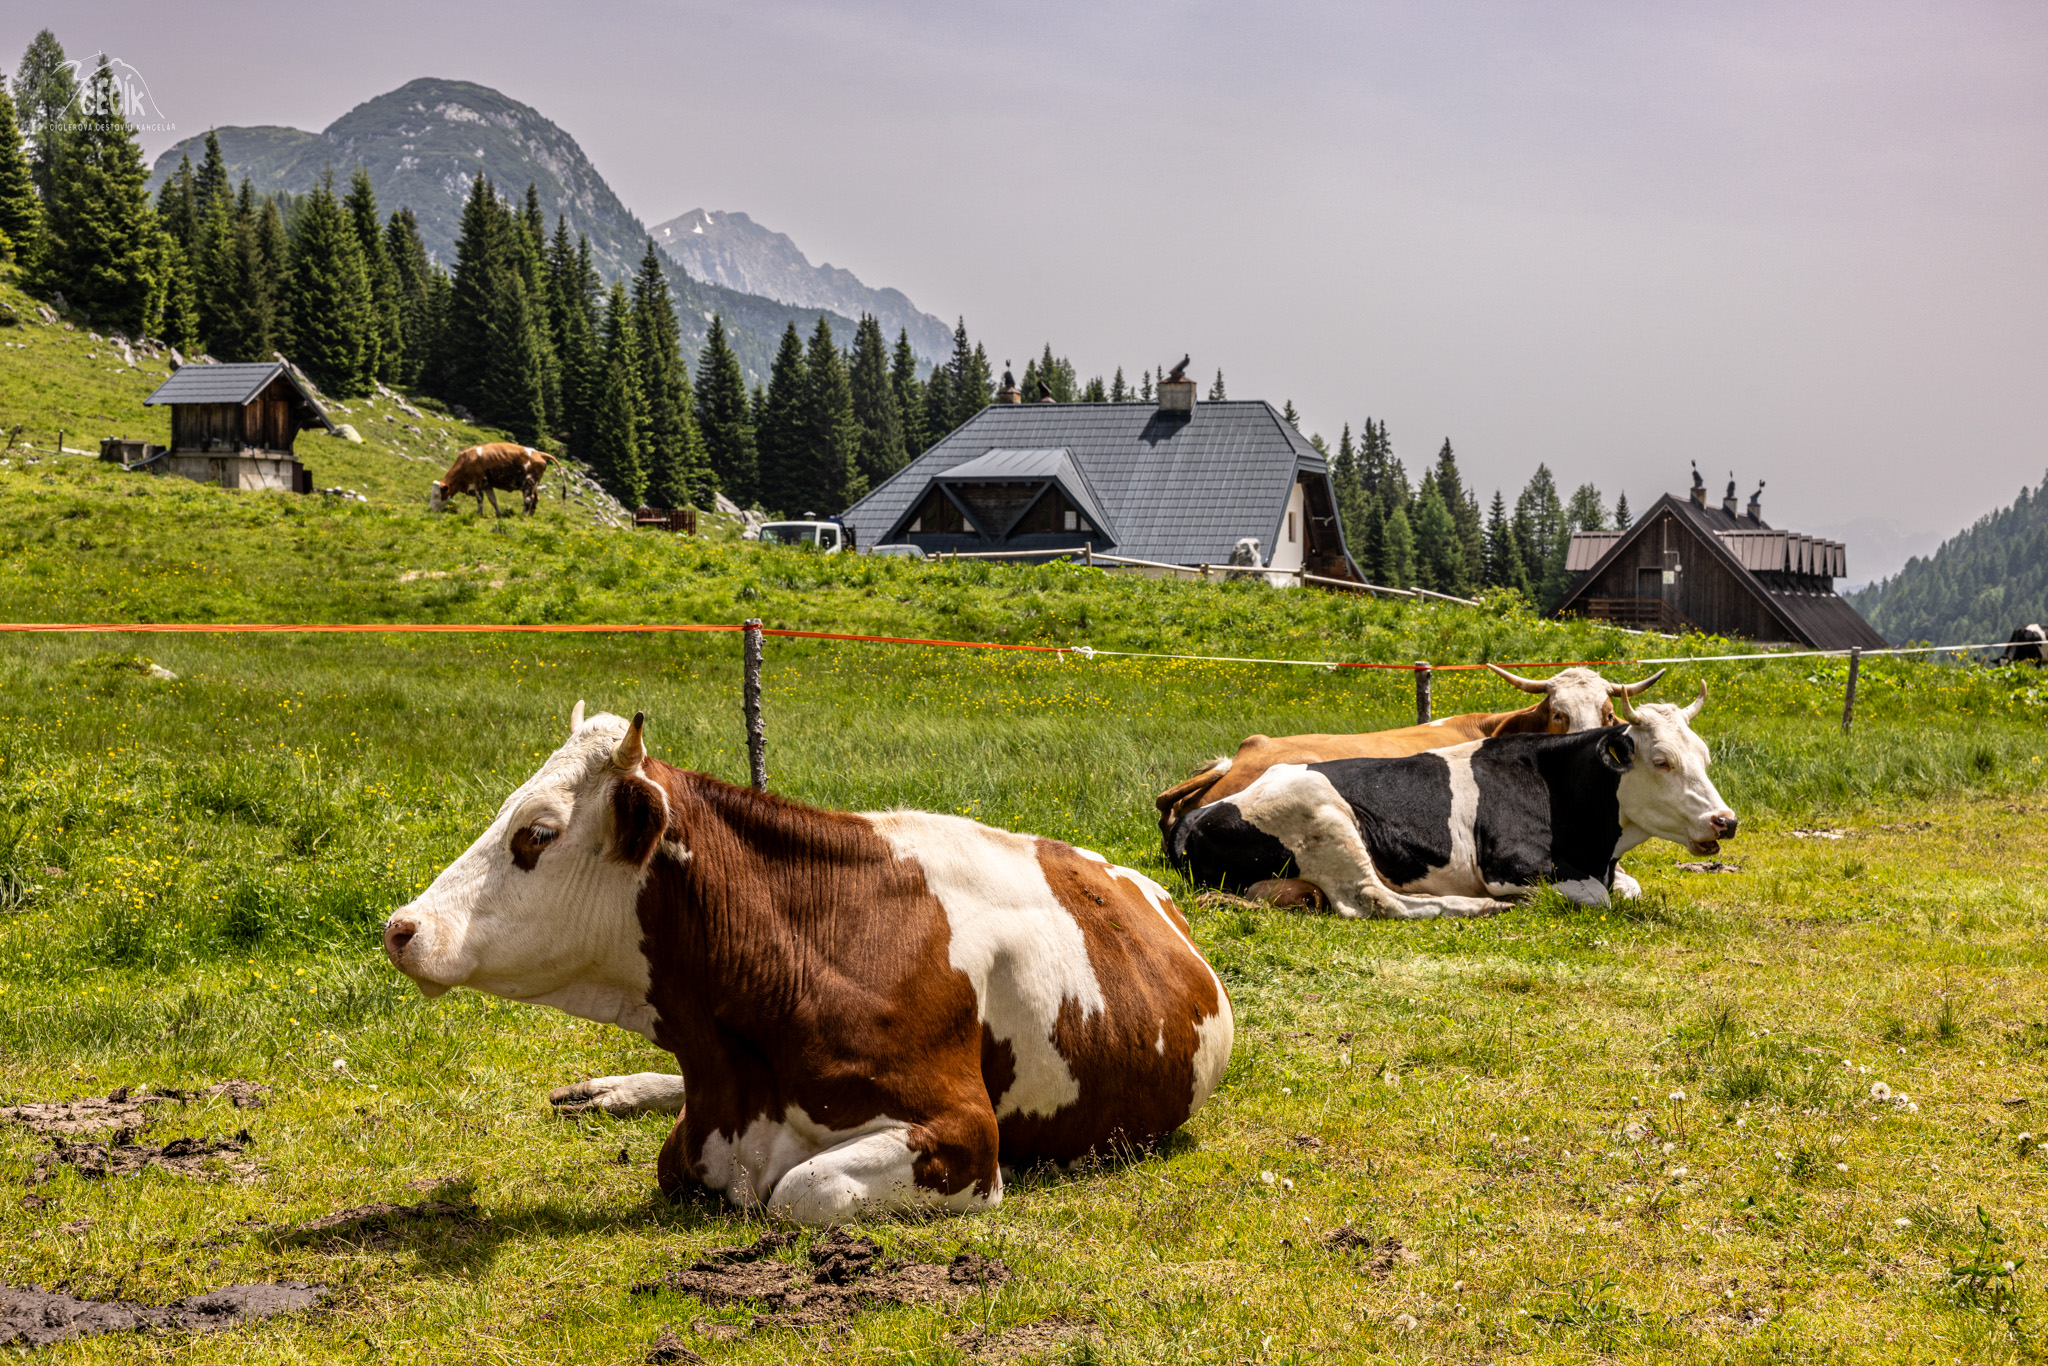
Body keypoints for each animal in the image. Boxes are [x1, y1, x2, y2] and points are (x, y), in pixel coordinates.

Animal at [385, 712, 1228, 1220]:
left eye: (536, 833)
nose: (401, 928)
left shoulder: (966, 1136)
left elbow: (800, 1189)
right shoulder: (704, 1119)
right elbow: (679, 1154)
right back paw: (607, 1091)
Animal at [1179, 696, 1736, 917]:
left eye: (1705, 757)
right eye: (1662, 761)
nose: (1725, 821)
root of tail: (1197, 816)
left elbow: (1628, 889)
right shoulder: (1511, 865)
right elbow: (1597, 897)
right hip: (1327, 819)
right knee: (1378, 899)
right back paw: (1482, 907)